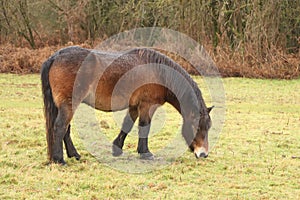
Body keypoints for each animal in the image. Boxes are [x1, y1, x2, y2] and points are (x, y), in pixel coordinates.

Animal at [40, 46, 213, 164]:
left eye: (208, 127)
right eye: (197, 126)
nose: (203, 154)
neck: (159, 72)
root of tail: (56, 56)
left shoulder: (134, 106)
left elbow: (127, 125)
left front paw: (117, 149)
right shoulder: (147, 106)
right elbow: (144, 126)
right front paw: (145, 153)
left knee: (65, 129)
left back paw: (74, 155)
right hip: (69, 104)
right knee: (60, 127)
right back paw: (59, 160)